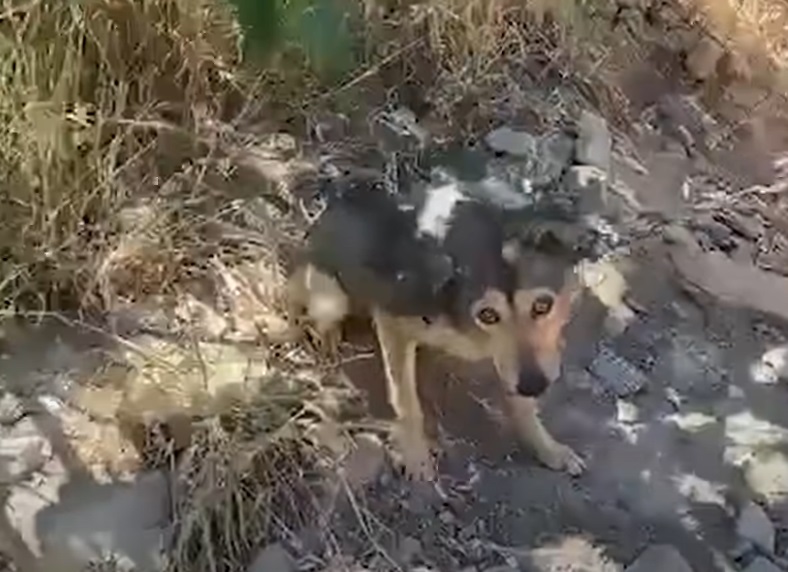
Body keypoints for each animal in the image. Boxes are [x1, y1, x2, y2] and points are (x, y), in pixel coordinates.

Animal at [288, 177, 584, 480]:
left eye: (542, 305)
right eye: (488, 315)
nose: (535, 385)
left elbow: (524, 407)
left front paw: (548, 448)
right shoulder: (392, 319)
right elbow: (406, 402)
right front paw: (416, 456)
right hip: (331, 298)